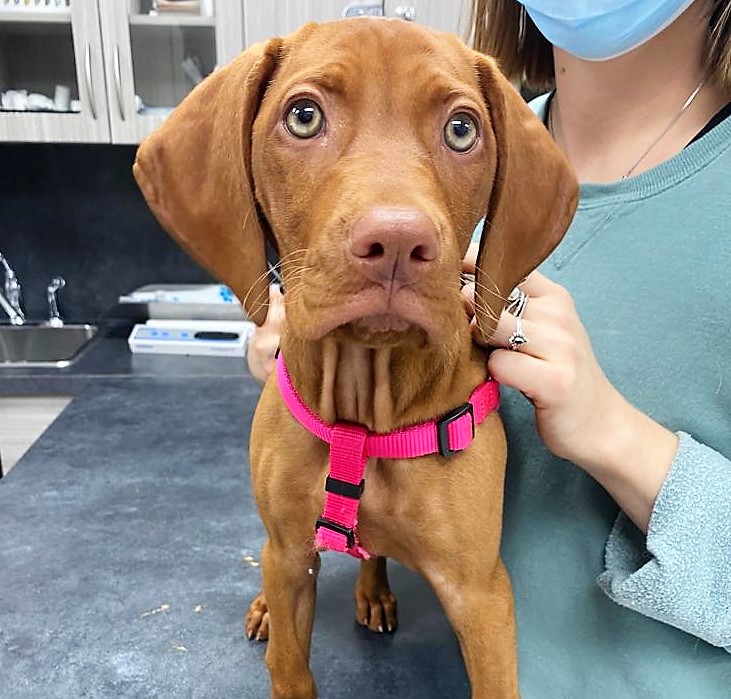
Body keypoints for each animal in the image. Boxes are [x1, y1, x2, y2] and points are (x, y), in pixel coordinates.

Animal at [132, 16, 576, 699]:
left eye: (462, 129)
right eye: (304, 116)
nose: (396, 242)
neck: (365, 414)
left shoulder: (481, 594)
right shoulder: (291, 556)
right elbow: (289, 663)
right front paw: (274, 623)